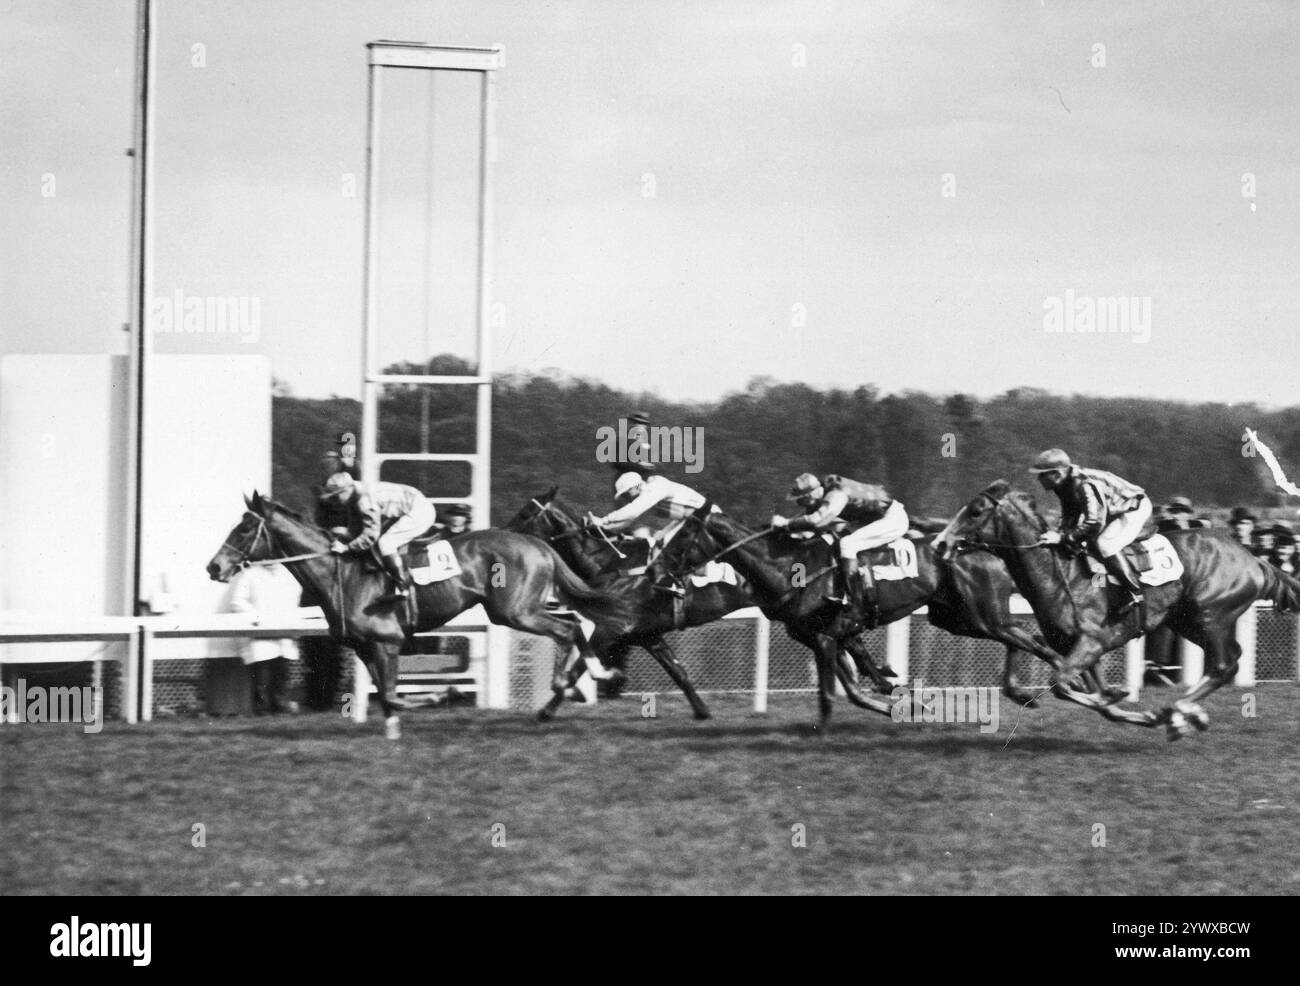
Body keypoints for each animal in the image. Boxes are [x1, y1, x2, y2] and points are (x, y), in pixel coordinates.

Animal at [208, 494, 634, 738]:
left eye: (244, 528)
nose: (214, 567)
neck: (340, 574)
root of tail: (537, 543)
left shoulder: (388, 642)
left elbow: (394, 695)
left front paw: (444, 693)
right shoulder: (366, 648)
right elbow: (390, 698)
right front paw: (397, 728)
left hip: (515, 611)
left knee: (566, 629)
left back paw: (571, 684)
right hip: (517, 609)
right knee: (577, 621)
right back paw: (593, 675)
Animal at [660, 504, 1118, 728]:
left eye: (683, 536)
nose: (660, 569)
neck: (790, 565)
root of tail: (981, 544)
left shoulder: (826, 636)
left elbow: (834, 695)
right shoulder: (823, 637)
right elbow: (853, 690)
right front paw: (906, 703)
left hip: (982, 613)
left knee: (1029, 637)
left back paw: (1086, 686)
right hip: (959, 618)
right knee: (1025, 637)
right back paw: (1045, 690)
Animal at [935, 478, 1300, 738]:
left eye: (976, 511)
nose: (941, 543)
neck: (1059, 573)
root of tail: (1253, 558)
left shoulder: (1092, 641)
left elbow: (1063, 685)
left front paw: (1120, 695)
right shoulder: (1074, 646)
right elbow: (1086, 691)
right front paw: (1127, 704)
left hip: (1211, 614)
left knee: (1224, 664)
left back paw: (1179, 713)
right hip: (1187, 621)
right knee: (1228, 660)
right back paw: (1184, 713)